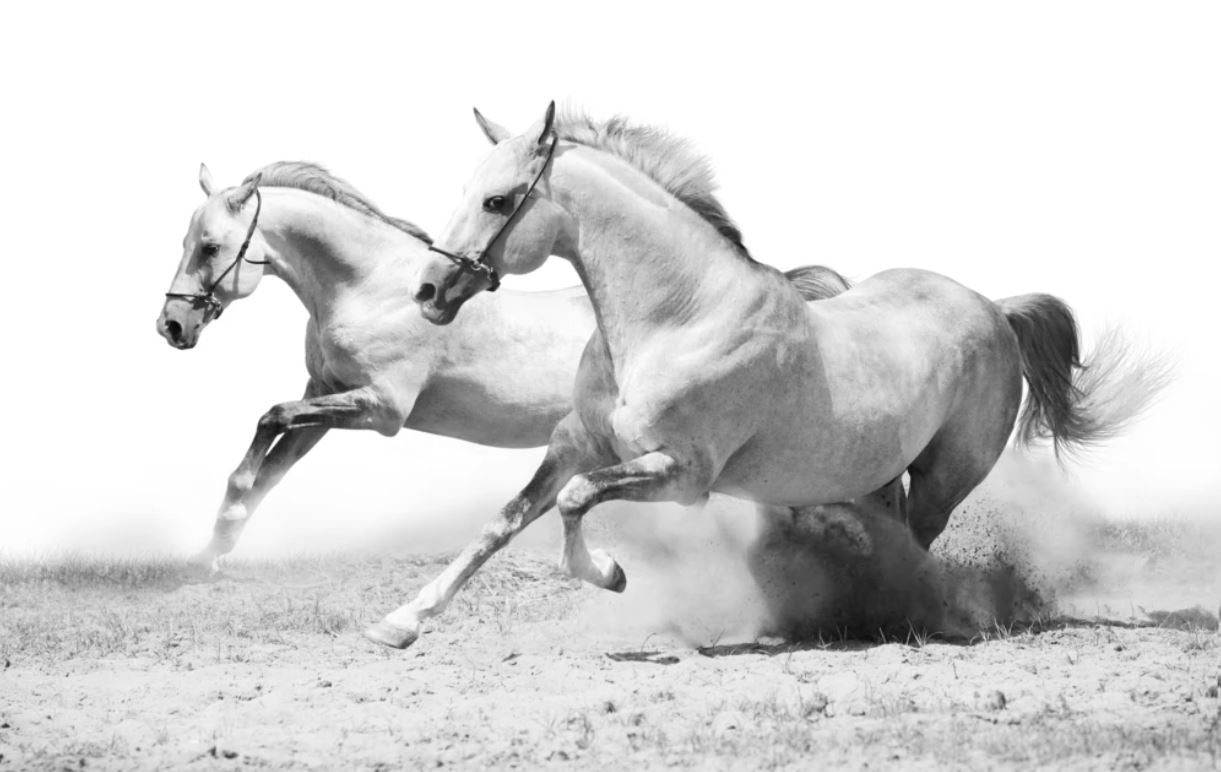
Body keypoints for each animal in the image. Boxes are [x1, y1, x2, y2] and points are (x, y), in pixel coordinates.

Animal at [155, 161, 849, 574]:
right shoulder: (327, 395)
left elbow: (269, 417)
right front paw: (215, 547)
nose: (172, 326)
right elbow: (266, 463)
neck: (369, 286)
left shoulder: (378, 408)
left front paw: (219, 540)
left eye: (210, 246)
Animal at [368, 100, 1162, 644]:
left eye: (497, 200)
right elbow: (502, 523)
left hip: (946, 475)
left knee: (918, 542)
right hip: (874, 476)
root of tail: (994, 307)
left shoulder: (682, 475)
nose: (429, 292)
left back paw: (908, 618)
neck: (677, 319)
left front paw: (612, 575)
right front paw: (400, 622)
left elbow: (574, 502)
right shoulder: (574, 444)